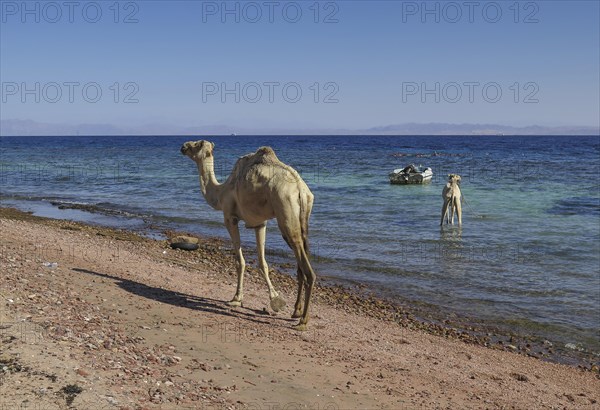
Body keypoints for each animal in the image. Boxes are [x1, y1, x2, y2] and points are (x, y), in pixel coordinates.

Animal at [180, 140, 316, 330]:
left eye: (196, 144)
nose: (183, 146)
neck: (221, 193)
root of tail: (300, 190)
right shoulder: (260, 224)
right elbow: (262, 263)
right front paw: (275, 298)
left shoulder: (230, 218)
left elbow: (240, 261)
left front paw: (236, 299)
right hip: (302, 221)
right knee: (301, 261)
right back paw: (296, 311)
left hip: (286, 213)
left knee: (307, 268)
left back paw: (303, 321)